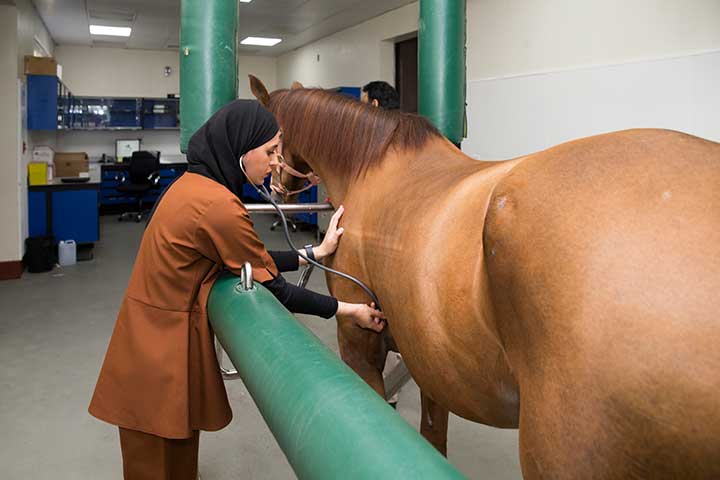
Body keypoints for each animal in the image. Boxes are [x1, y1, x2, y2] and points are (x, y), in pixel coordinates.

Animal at [250, 77, 716, 478]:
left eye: (274, 139)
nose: (275, 188)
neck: (370, 170)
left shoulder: (360, 343)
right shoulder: (431, 362)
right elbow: (432, 436)